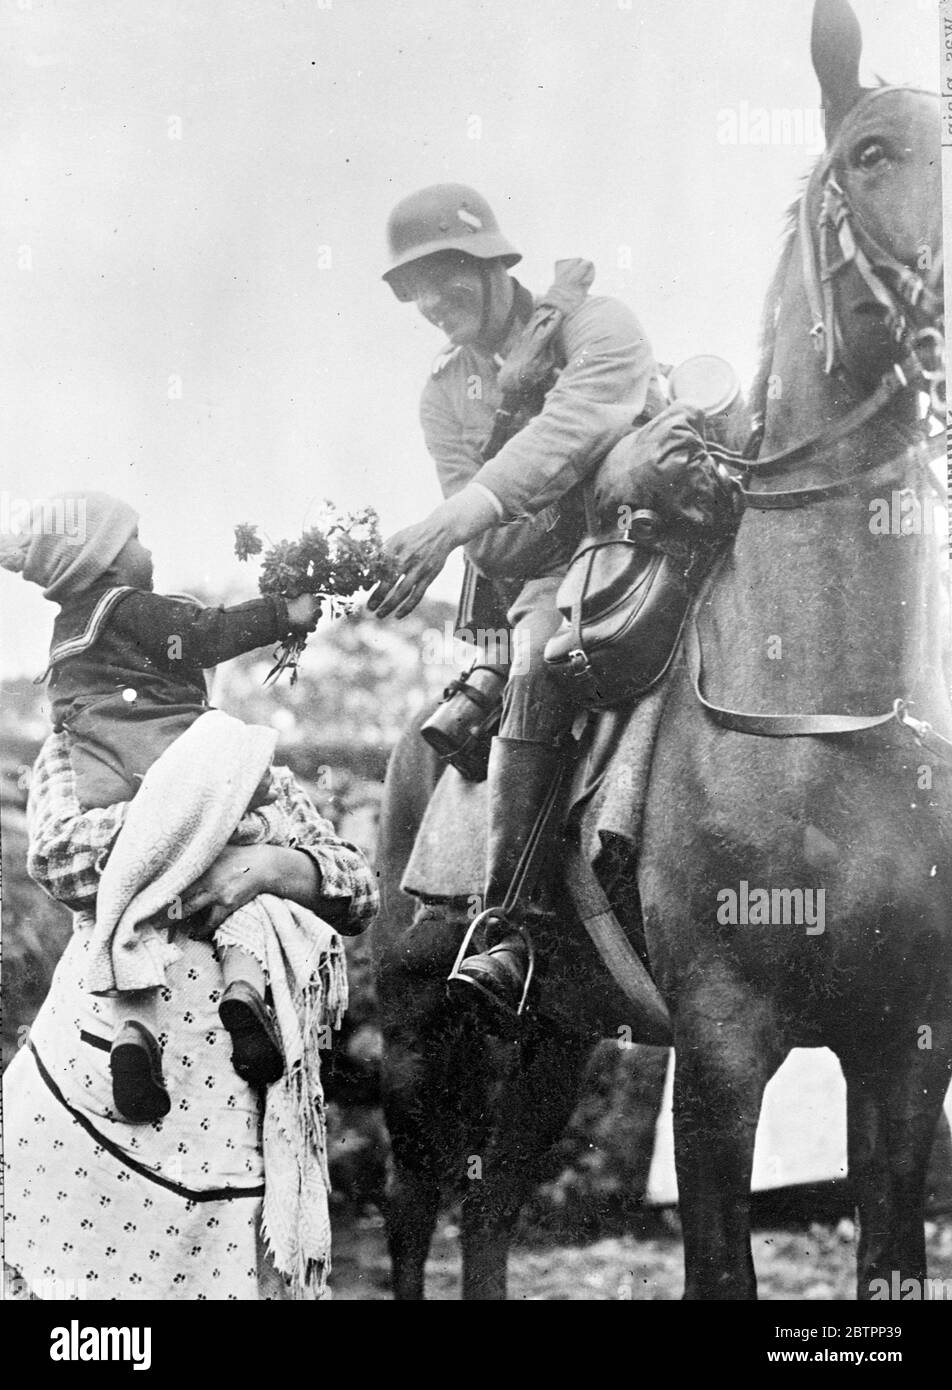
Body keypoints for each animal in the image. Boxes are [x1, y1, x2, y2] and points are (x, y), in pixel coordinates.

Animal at [369, 2, 945, 1301]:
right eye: (871, 153)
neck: (829, 720)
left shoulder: (904, 1048)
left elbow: (886, 1249)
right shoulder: (723, 1053)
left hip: (557, 1034)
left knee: (491, 1206)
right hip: (418, 1031)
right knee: (414, 1204)